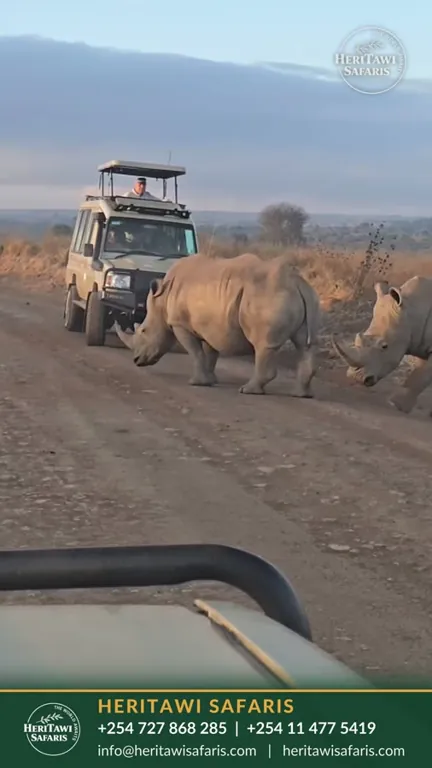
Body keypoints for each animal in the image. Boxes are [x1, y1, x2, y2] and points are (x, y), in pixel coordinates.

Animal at [115, 252, 321, 397]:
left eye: (143, 331)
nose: (136, 360)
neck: (162, 298)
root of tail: (296, 281)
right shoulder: (209, 324)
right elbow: (210, 353)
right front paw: (210, 380)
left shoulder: (180, 324)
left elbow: (196, 352)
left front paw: (197, 383)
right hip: (307, 297)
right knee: (305, 344)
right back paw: (301, 394)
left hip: (266, 297)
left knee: (263, 344)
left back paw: (247, 390)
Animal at [332, 276, 432, 413]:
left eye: (384, 346)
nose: (355, 378)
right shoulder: (421, 343)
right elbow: (421, 373)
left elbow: (419, 376)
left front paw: (395, 405)